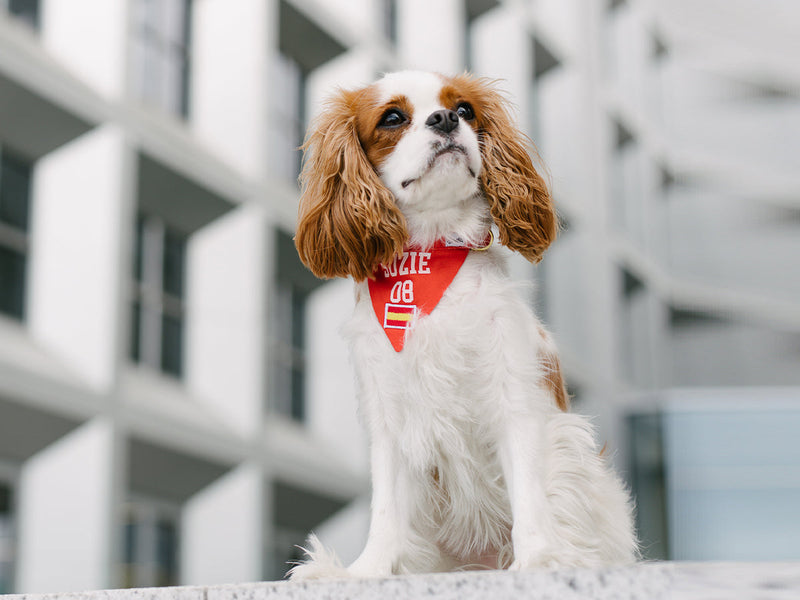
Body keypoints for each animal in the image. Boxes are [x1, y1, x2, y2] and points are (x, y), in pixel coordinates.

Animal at [290, 72, 636, 580]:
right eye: (392, 118)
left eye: (466, 110)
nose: (445, 119)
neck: (431, 254)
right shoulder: (388, 413)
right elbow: (386, 507)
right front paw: (367, 570)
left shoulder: (512, 394)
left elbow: (528, 488)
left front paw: (540, 558)